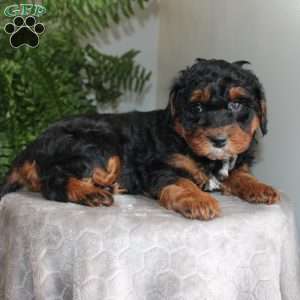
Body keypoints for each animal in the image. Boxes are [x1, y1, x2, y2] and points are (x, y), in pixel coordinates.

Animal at [0, 58, 280, 219]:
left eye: (236, 105)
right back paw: (92, 193)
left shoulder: (235, 163)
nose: (218, 140)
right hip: (97, 148)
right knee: (54, 182)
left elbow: (240, 174)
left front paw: (262, 188)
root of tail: (29, 149)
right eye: (197, 108)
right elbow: (182, 182)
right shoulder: (160, 168)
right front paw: (199, 201)